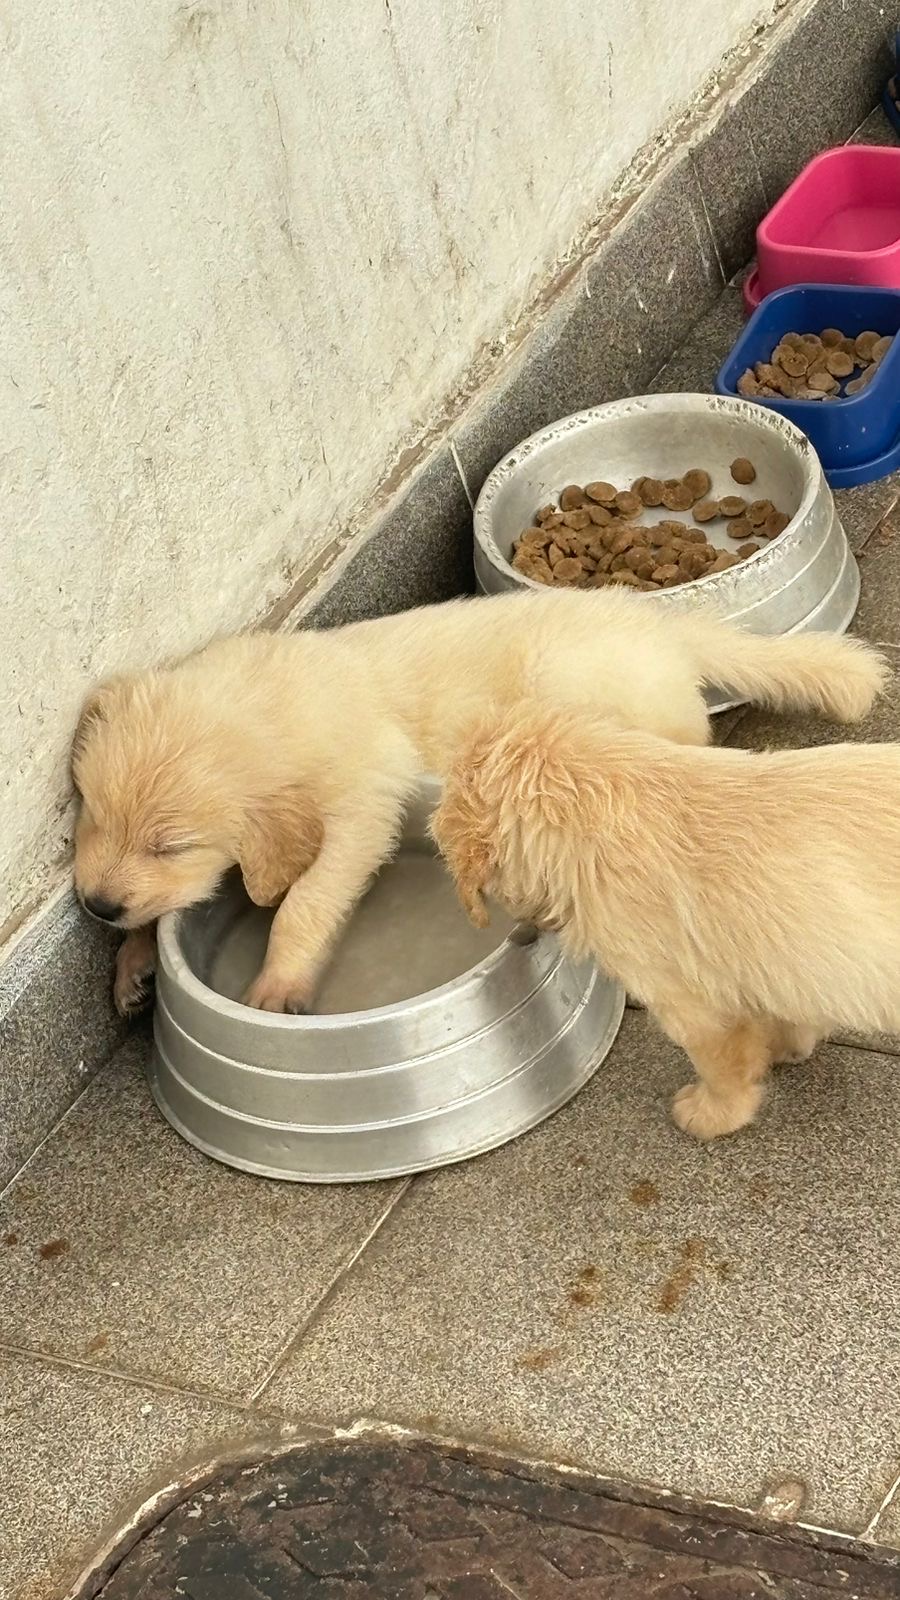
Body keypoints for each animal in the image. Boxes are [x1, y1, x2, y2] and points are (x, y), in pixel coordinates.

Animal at [71, 585, 883, 1011]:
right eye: (92, 819)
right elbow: (163, 908)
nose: (95, 908)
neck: (260, 705)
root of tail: (660, 625)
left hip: (572, 686)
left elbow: (308, 897)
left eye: (170, 845)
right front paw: (135, 959)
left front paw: (277, 984)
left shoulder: (367, 803)